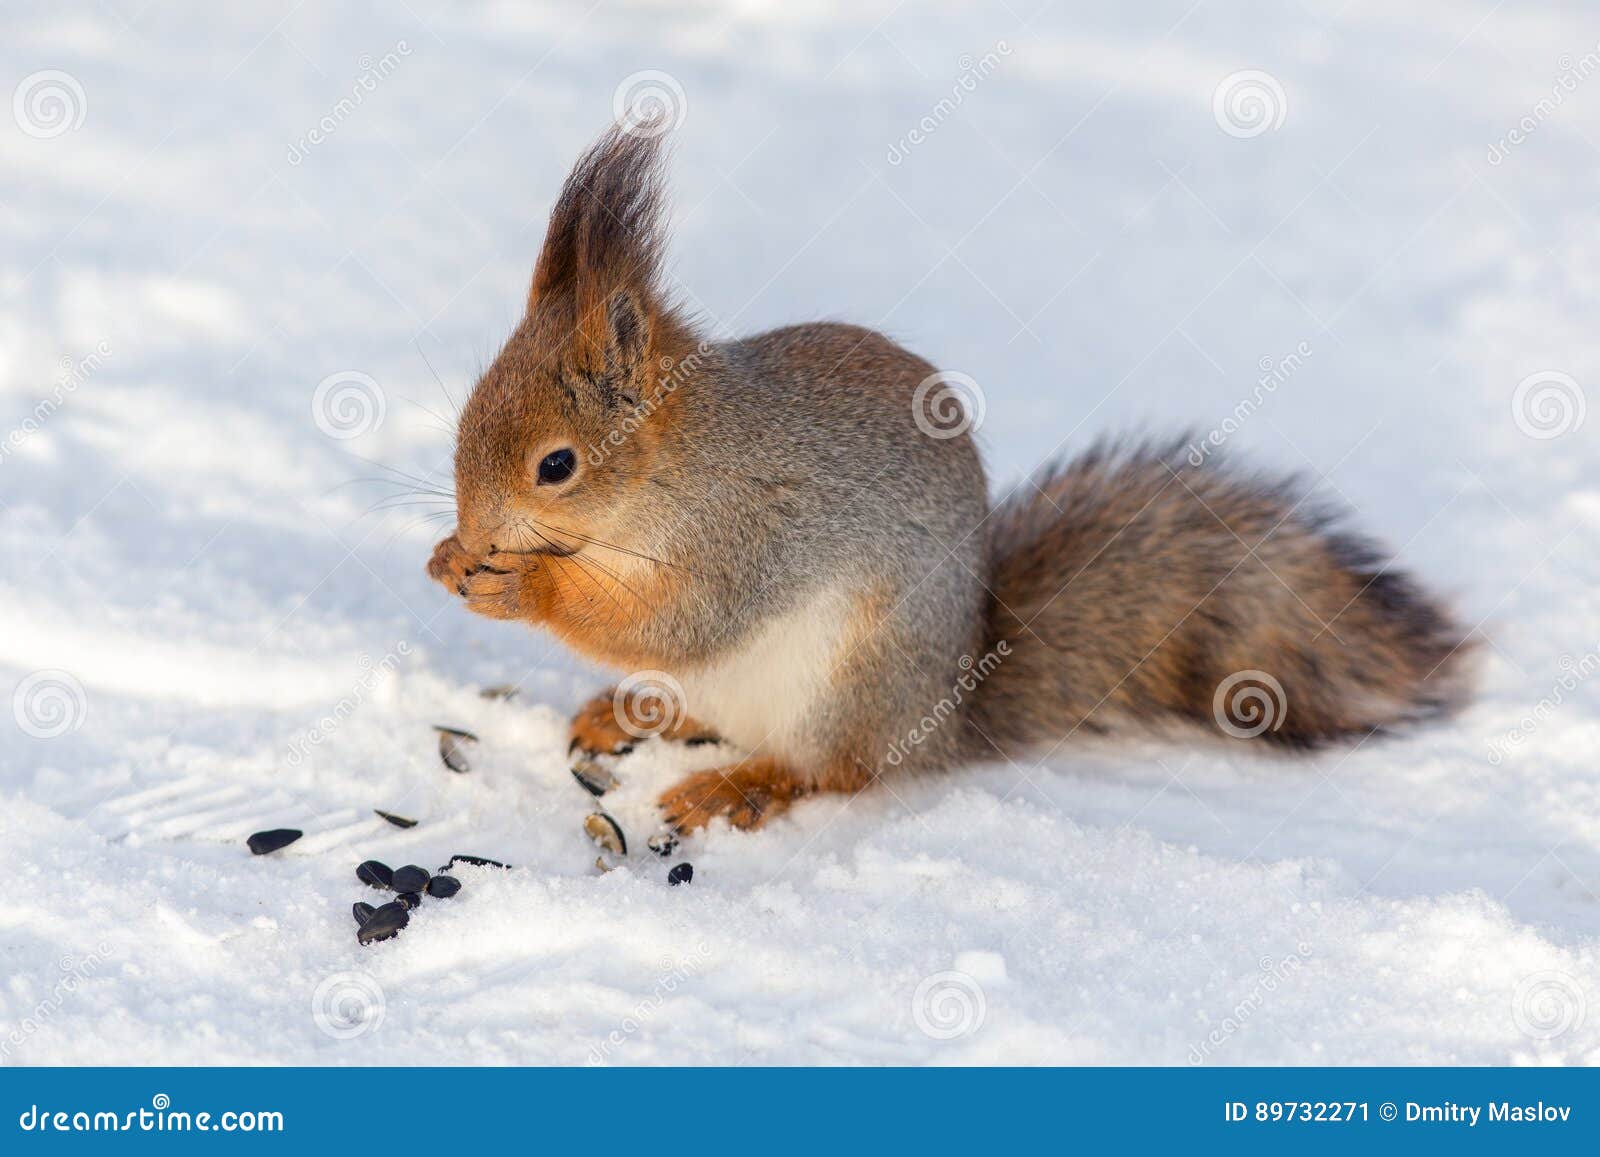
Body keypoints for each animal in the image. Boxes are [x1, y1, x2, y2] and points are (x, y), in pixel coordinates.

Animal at [427, 125, 1472, 834]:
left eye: (555, 465)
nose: (476, 535)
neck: (670, 471)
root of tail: (943, 719)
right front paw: (447, 558)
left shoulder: (748, 533)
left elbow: (676, 620)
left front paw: (523, 585)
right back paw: (624, 712)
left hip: (847, 684)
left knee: (834, 772)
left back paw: (740, 785)